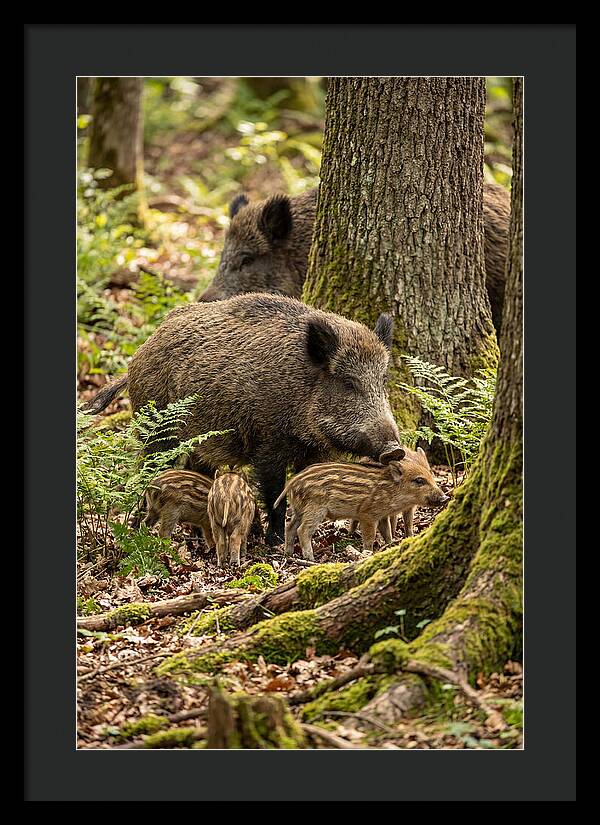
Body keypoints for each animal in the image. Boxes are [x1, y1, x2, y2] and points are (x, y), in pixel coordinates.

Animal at [83, 293, 402, 546]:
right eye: (348, 383)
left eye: (382, 380)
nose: (395, 449)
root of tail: (139, 354)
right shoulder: (267, 443)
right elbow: (274, 493)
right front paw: (274, 541)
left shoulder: (314, 452)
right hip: (158, 430)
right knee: (147, 470)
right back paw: (137, 527)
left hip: (200, 440)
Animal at [275, 447, 448, 561]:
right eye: (419, 480)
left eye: (431, 475)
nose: (445, 498)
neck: (391, 490)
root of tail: (292, 483)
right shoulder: (368, 515)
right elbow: (369, 536)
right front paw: (368, 552)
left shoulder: (382, 515)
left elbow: (386, 531)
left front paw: (390, 545)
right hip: (315, 509)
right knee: (303, 530)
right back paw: (310, 558)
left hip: (299, 509)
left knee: (289, 527)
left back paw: (288, 553)